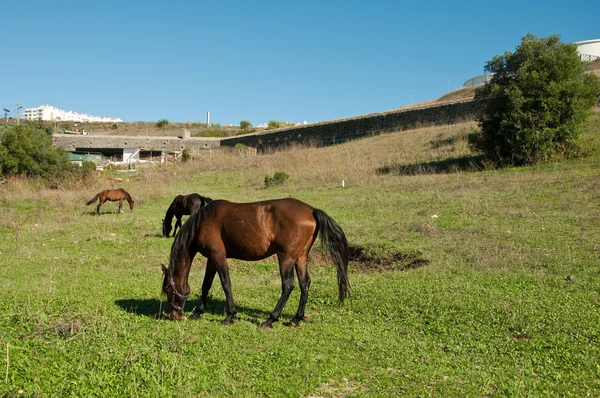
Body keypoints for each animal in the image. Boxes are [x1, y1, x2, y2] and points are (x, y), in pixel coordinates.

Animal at [162, 197, 352, 328]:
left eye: (168, 290)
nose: (172, 316)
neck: (202, 222)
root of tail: (312, 210)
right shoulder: (211, 258)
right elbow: (206, 285)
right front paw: (198, 312)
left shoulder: (218, 256)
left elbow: (226, 284)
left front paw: (230, 316)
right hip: (301, 257)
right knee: (305, 284)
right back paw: (295, 319)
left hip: (286, 257)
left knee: (288, 285)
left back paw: (270, 320)